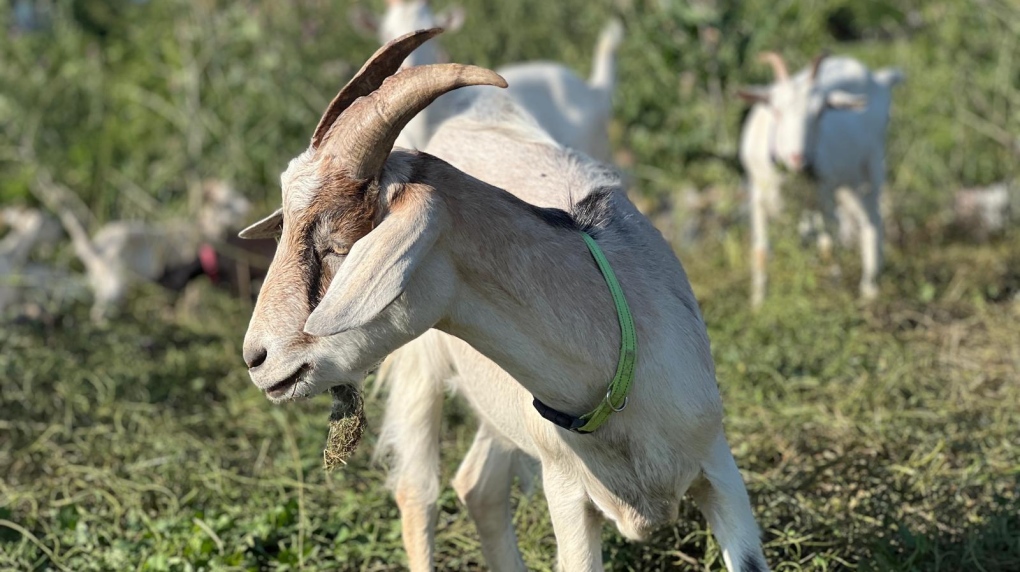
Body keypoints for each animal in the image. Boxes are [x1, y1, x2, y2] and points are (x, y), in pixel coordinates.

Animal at [236, 30, 767, 570]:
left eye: (338, 245)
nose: (256, 358)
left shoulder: (720, 470)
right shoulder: (566, 495)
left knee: (478, 487)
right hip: (422, 369)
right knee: (418, 492)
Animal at [738, 51, 905, 305]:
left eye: (820, 113)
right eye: (776, 110)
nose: (799, 158)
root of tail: (878, 79)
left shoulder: (823, 194)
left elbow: (828, 247)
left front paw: (832, 293)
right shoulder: (758, 194)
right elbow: (761, 251)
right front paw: (758, 303)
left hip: (870, 167)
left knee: (872, 219)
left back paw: (870, 286)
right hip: (845, 183)